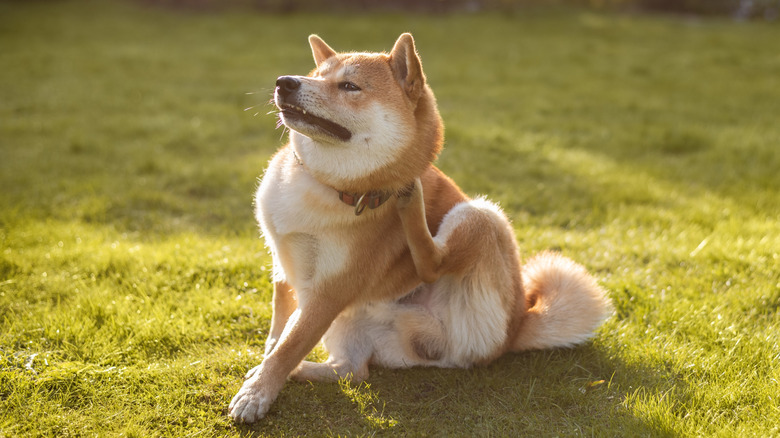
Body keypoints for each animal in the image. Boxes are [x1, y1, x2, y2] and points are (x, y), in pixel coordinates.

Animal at [225, 32, 608, 422]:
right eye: (316, 74)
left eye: (349, 86)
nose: (285, 82)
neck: (324, 185)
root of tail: (516, 328)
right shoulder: (284, 269)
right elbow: (279, 333)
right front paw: (265, 369)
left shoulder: (330, 291)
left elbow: (291, 343)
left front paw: (258, 393)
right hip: (356, 322)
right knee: (353, 371)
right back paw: (303, 371)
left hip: (483, 215)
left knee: (431, 264)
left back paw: (411, 201)